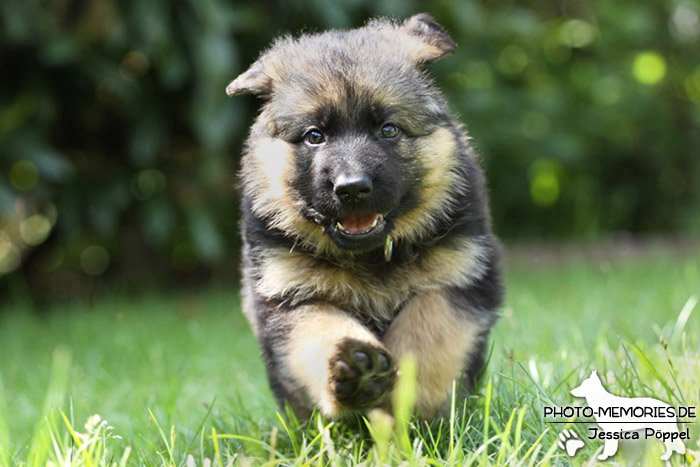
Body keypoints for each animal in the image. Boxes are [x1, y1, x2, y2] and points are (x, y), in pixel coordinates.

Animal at [228, 13, 504, 420]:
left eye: (388, 129)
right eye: (314, 136)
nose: (352, 188)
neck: (371, 257)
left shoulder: (460, 276)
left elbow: (429, 329)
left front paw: (410, 402)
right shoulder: (290, 295)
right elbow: (320, 332)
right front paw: (359, 369)